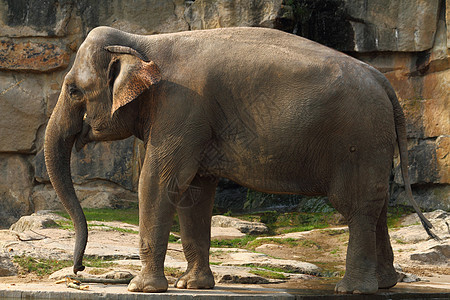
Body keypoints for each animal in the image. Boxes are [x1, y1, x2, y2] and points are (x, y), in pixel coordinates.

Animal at [44, 26, 434, 296]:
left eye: (73, 90)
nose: (78, 270)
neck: (143, 41)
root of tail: (385, 83)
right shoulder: (191, 120)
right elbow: (193, 193)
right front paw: (192, 286)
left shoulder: (181, 109)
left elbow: (159, 183)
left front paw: (140, 289)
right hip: (372, 141)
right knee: (377, 204)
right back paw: (385, 284)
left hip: (357, 138)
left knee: (356, 206)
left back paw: (352, 289)